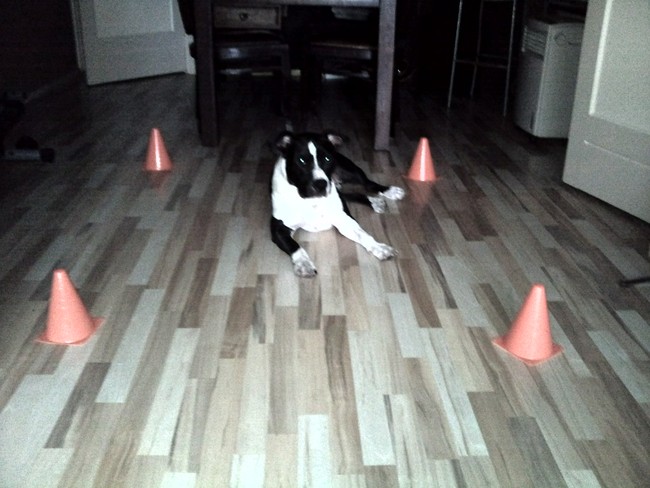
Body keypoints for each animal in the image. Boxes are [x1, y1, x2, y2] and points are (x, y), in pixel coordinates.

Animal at [270, 131, 405, 277]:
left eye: (327, 159)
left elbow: (363, 234)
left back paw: (389, 192)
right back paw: (375, 201)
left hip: (349, 170)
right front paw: (303, 263)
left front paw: (379, 247)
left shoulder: (344, 220)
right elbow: (294, 246)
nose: (320, 184)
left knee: (368, 184)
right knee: (347, 194)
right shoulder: (278, 228)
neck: (310, 200)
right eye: (301, 160)